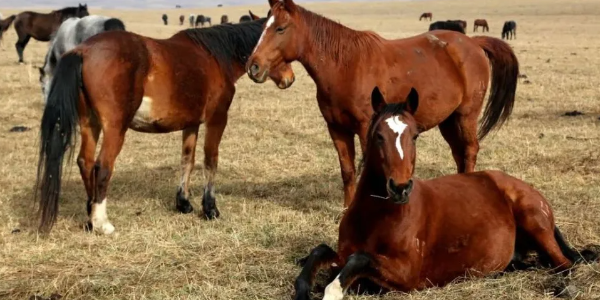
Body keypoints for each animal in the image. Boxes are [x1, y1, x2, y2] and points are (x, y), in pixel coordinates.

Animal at [33, 15, 296, 234]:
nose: (290, 79)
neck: (214, 56)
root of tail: (84, 50)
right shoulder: (217, 119)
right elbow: (210, 161)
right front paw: (210, 208)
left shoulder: (192, 123)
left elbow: (187, 160)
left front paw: (184, 203)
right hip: (115, 129)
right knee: (102, 166)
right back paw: (102, 223)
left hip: (91, 124)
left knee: (85, 162)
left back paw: (90, 216)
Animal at [248, 0, 520, 206]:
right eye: (263, 28)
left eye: (281, 28)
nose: (253, 67)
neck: (345, 65)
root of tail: (474, 43)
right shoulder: (337, 128)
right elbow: (348, 171)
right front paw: (347, 209)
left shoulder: (365, 126)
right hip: (449, 120)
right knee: (459, 153)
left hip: (466, 115)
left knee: (470, 150)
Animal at [292, 87, 596, 300]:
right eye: (378, 135)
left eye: (415, 136)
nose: (400, 188)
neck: (378, 215)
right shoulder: (343, 253)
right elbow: (320, 252)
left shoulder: (406, 274)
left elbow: (360, 259)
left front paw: (333, 291)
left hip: (534, 222)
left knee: (565, 264)